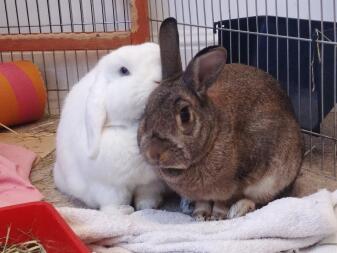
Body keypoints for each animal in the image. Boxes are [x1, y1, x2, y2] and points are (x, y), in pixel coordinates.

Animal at [52, 42, 167, 211]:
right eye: (123, 71)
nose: (159, 80)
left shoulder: (151, 183)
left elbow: (147, 195)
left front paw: (147, 208)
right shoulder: (108, 187)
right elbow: (115, 201)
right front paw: (122, 212)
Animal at [138, 17, 304, 220]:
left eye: (185, 115)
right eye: (146, 109)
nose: (154, 153)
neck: (212, 138)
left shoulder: (238, 181)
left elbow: (224, 201)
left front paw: (217, 216)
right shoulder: (201, 193)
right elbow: (202, 201)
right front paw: (200, 215)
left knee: (265, 199)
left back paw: (240, 209)